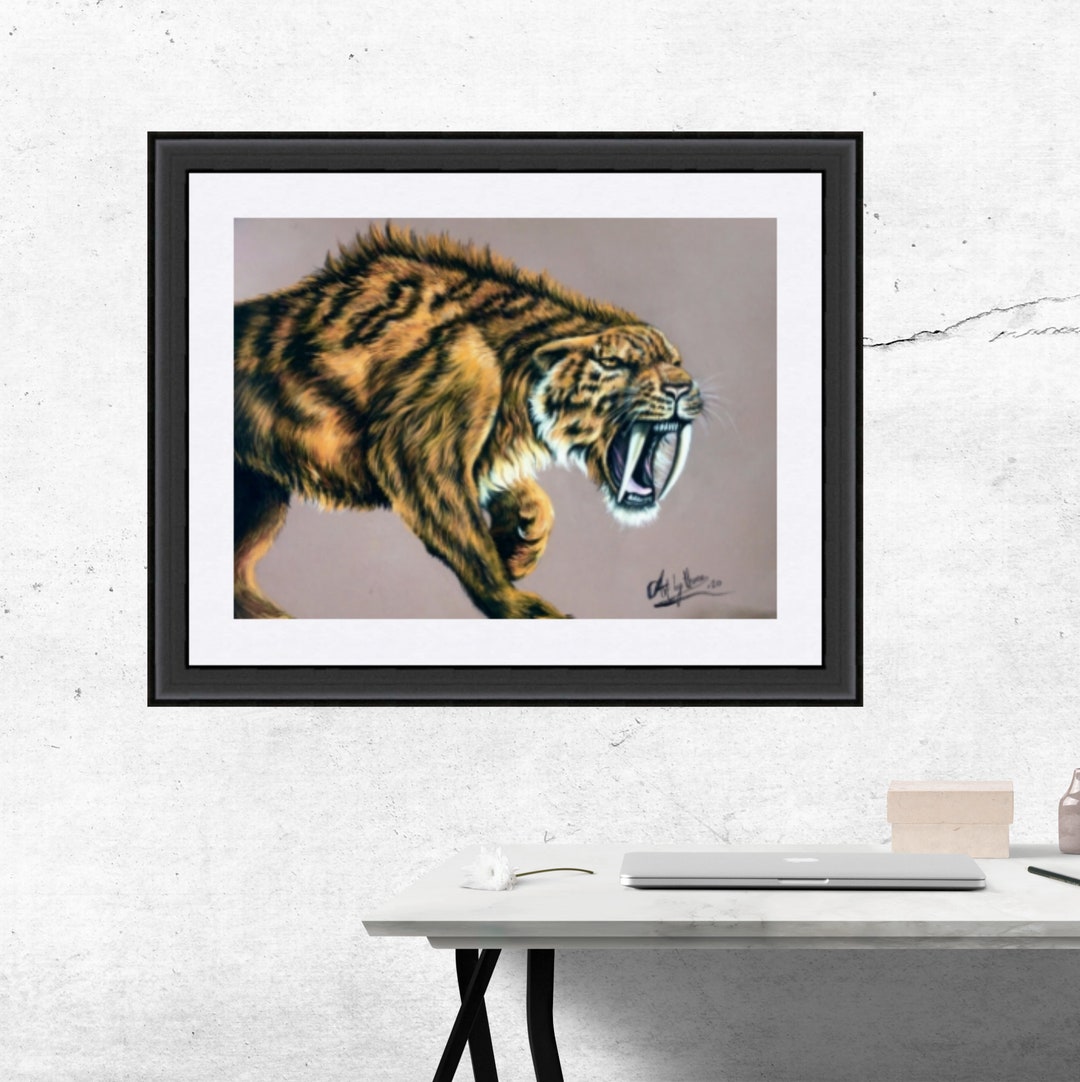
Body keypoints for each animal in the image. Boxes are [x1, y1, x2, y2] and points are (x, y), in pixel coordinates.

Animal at [234, 224, 703, 619]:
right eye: (615, 363)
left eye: (675, 361)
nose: (683, 387)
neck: (518, 375)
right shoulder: (417, 455)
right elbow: (470, 542)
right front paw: (517, 604)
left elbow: (532, 501)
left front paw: (522, 545)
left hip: (260, 500)